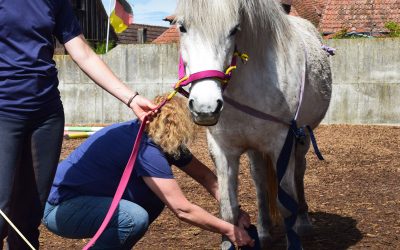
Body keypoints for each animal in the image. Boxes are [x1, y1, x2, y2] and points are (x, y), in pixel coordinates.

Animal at [175, 0, 332, 249]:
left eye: (234, 30)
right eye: (182, 27)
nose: (205, 107)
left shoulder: (282, 145)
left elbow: (286, 205)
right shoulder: (222, 150)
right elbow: (228, 209)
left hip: (303, 138)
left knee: (299, 172)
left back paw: (304, 222)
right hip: (255, 149)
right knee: (260, 181)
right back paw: (264, 231)